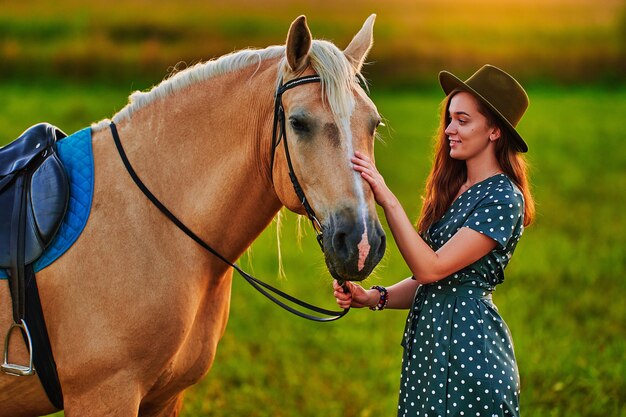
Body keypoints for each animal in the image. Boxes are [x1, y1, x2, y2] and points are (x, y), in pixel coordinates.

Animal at [0, 14, 386, 414]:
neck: (149, 223)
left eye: (374, 124)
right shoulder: (104, 395)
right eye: (298, 123)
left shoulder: (166, 397)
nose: (361, 244)